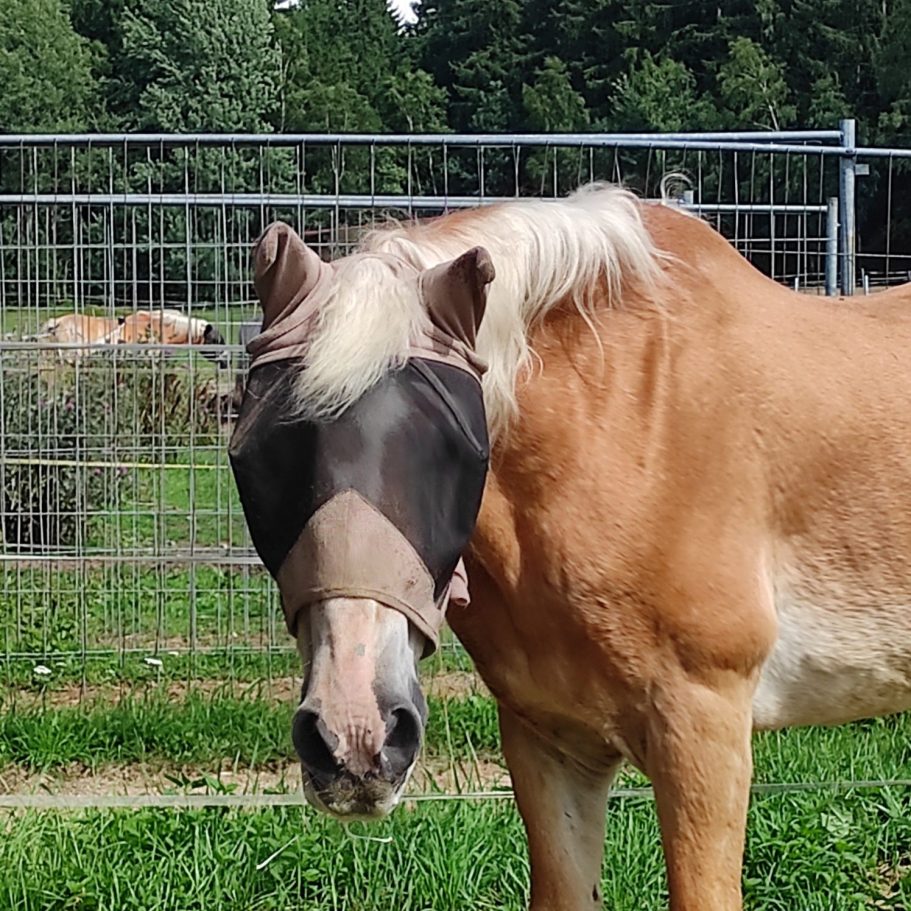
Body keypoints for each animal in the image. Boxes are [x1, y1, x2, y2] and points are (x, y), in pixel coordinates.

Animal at [228, 182, 911, 911]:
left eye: (458, 449)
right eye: (255, 454)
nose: (354, 737)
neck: (625, 422)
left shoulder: (702, 731)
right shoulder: (549, 741)